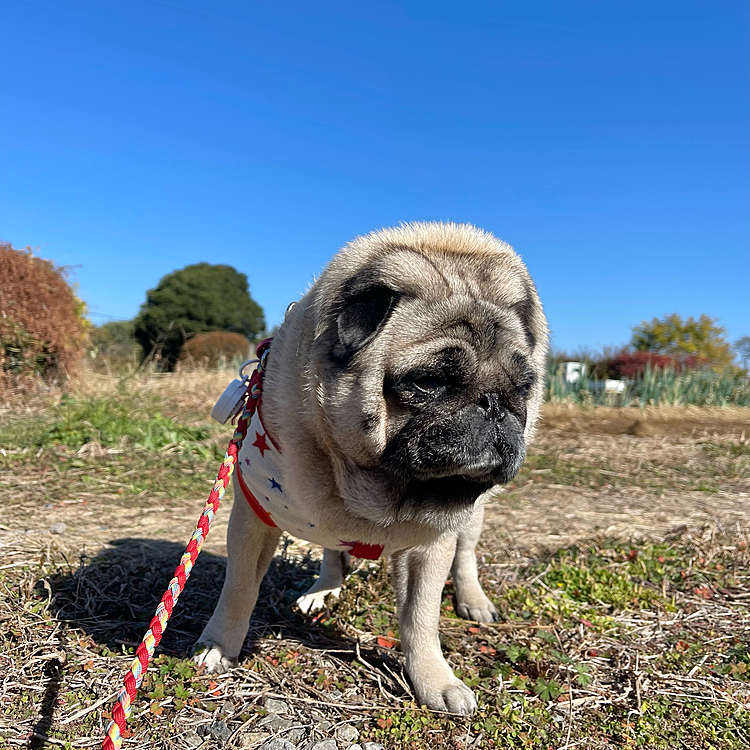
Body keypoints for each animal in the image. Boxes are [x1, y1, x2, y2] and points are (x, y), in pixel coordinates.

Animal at [194, 223, 548, 716]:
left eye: (523, 387)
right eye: (428, 382)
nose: (493, 402)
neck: (378, 487)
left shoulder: (431, 544)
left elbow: (421, 621)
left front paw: (433, 681)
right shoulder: (254, 518)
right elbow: (240, 587)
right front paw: (220, 646)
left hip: (471, 518)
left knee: (466, 555)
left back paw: (473, 600)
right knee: (331, 551)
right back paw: (323, 589)